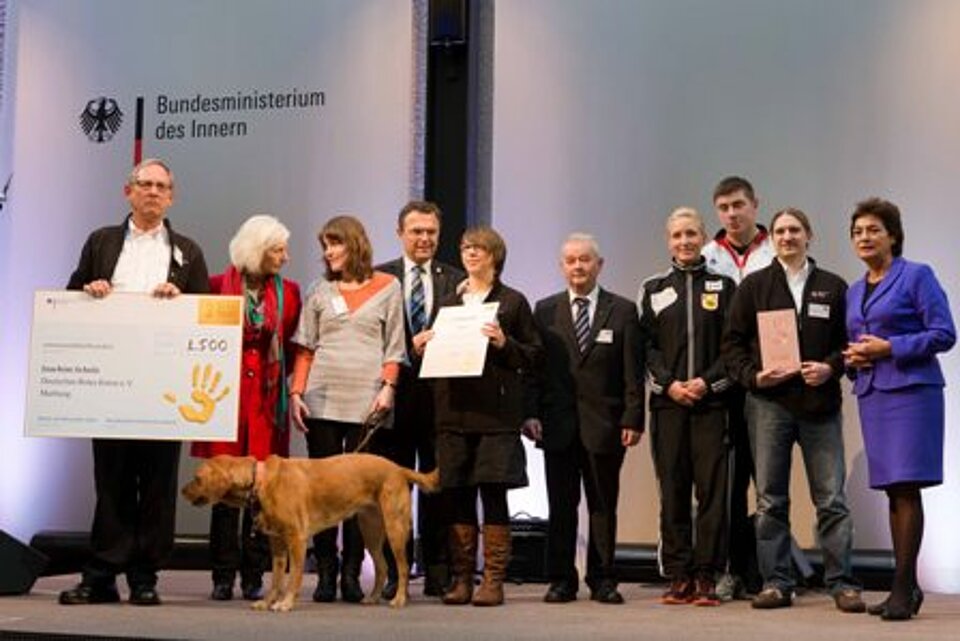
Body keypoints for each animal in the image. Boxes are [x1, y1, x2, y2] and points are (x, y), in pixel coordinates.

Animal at [182, 450, 440, 608]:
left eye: (197, 478)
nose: (182, 491)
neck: (260, 482)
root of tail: (398, 468)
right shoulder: (277, 545)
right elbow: (276, 580)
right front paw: (268, 602)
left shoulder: (296, 539)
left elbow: (294, 576)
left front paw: (285, 603)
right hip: (371, 531)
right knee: (383, 567)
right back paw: (374, 597)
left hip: (395, 528)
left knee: (403, 568)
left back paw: (399, 599)